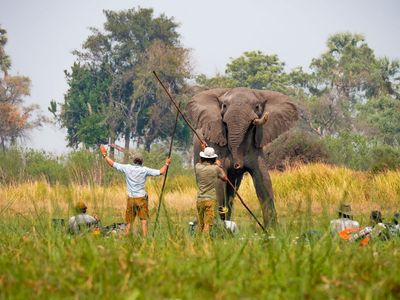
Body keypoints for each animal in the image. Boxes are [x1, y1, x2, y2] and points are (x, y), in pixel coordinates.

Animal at [188, 86, 296, 227]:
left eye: (257, 107)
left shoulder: (256, 147)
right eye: (224, 106)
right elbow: (218, 182)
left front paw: (272, 230)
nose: (237, 165)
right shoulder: (217, 143)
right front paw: (217, 228)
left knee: (231, 193)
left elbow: (263, 181)